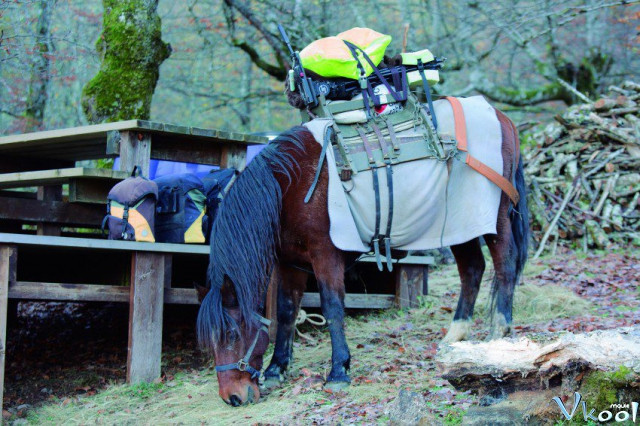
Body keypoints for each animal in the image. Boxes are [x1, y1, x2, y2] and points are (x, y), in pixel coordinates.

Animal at [198, 110, 528, 406]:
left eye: (231, 334)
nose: (232, 397)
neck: (289, 185)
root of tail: (500, 116)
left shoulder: (325, 254)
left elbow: (332, 307)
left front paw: (338, 371)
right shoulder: (290, 262)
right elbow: (286, 310)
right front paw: (276, 369)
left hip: (494, 219)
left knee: (505, 266)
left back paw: (498, 332)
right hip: (459, 225)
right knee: (473, 269)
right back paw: (455, 335)